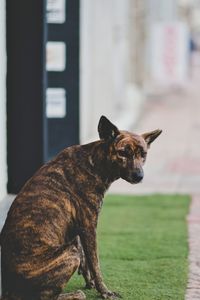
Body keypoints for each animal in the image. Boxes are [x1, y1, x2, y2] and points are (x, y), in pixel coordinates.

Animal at [0, 116, 162, 298]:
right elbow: (95, 263)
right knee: (46, 296)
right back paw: (76, 294)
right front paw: (104, 292)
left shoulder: (78, 230)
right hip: (70, 254)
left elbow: (86, 260)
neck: (95, 162)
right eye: (122, 153)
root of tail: (8, 289)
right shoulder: (89, 227)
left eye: (144, 154)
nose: (139, 176)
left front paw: (90, 282)